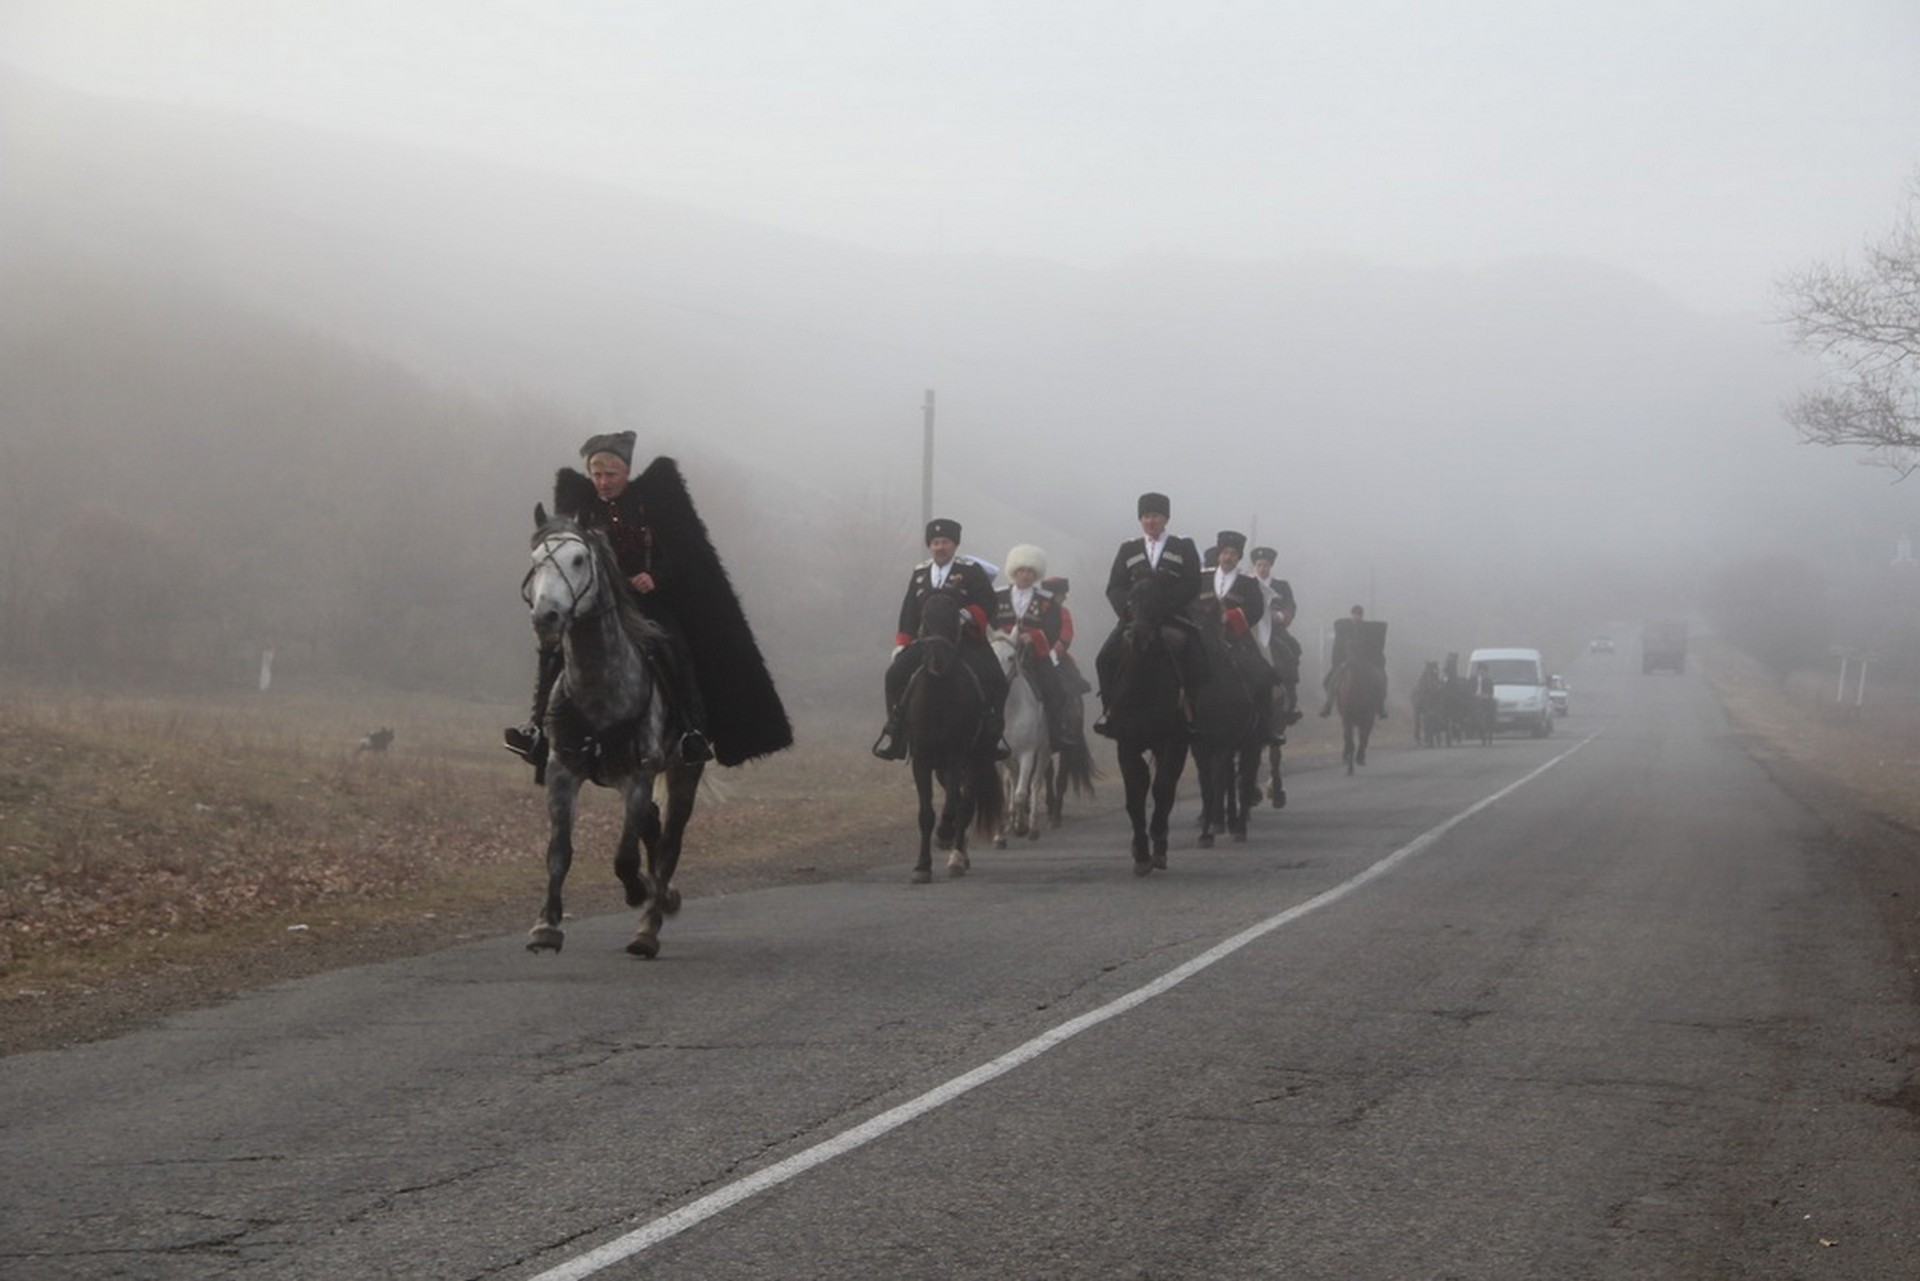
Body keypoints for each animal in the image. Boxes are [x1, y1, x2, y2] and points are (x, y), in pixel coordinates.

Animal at [906, 591, 1013, 883]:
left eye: (953, 617)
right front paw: (922, 866)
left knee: (965, 804)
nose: (937, 660)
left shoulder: (957, 755)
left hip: (977, 758)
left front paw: (944, 837)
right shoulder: (921, 759)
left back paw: (957, 856)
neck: (938, 697)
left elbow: (955, 806)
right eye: (924, 619)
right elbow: (926, 814)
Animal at [990, 629, 1052, 845]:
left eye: (1010, 657)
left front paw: (1021, 826)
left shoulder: (1027, 754)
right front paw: (999, 835)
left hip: (1043, 752)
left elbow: (1020, 793)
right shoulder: (996, 757)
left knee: (1035, 783)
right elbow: (1001, 793)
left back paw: (1031, 826)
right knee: (1014, 777)